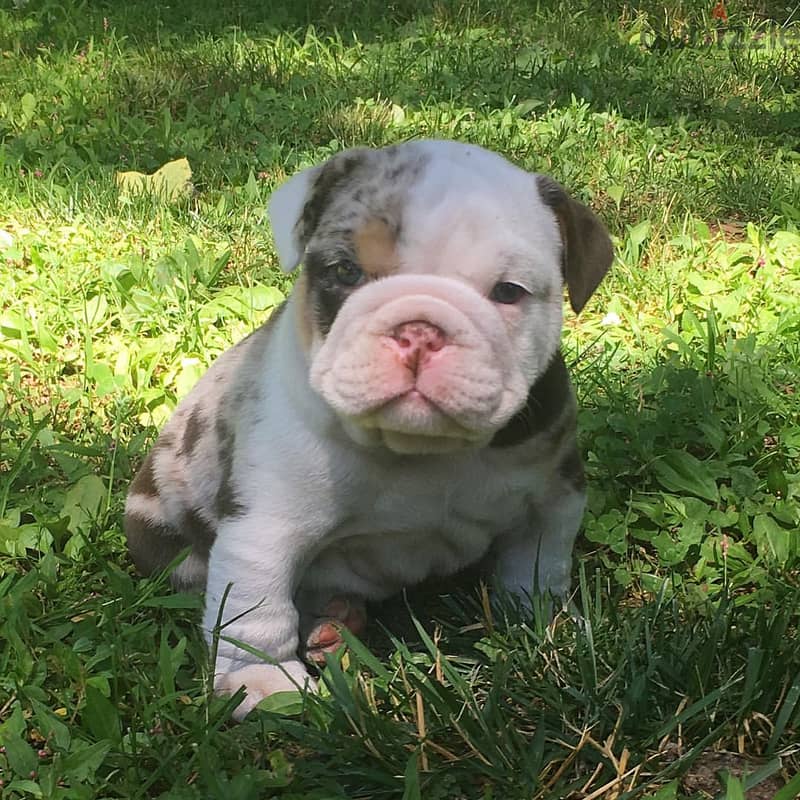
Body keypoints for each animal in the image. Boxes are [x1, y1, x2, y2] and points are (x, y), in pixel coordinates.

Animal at [123, 141, 612, 720]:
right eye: (346, 271)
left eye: (508, 292)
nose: (419, 330)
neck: (418, 450)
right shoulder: (265, 528)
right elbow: (256, 613)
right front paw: (263, 683)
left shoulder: (553, 497)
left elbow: (537, 568)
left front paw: (549, 627)